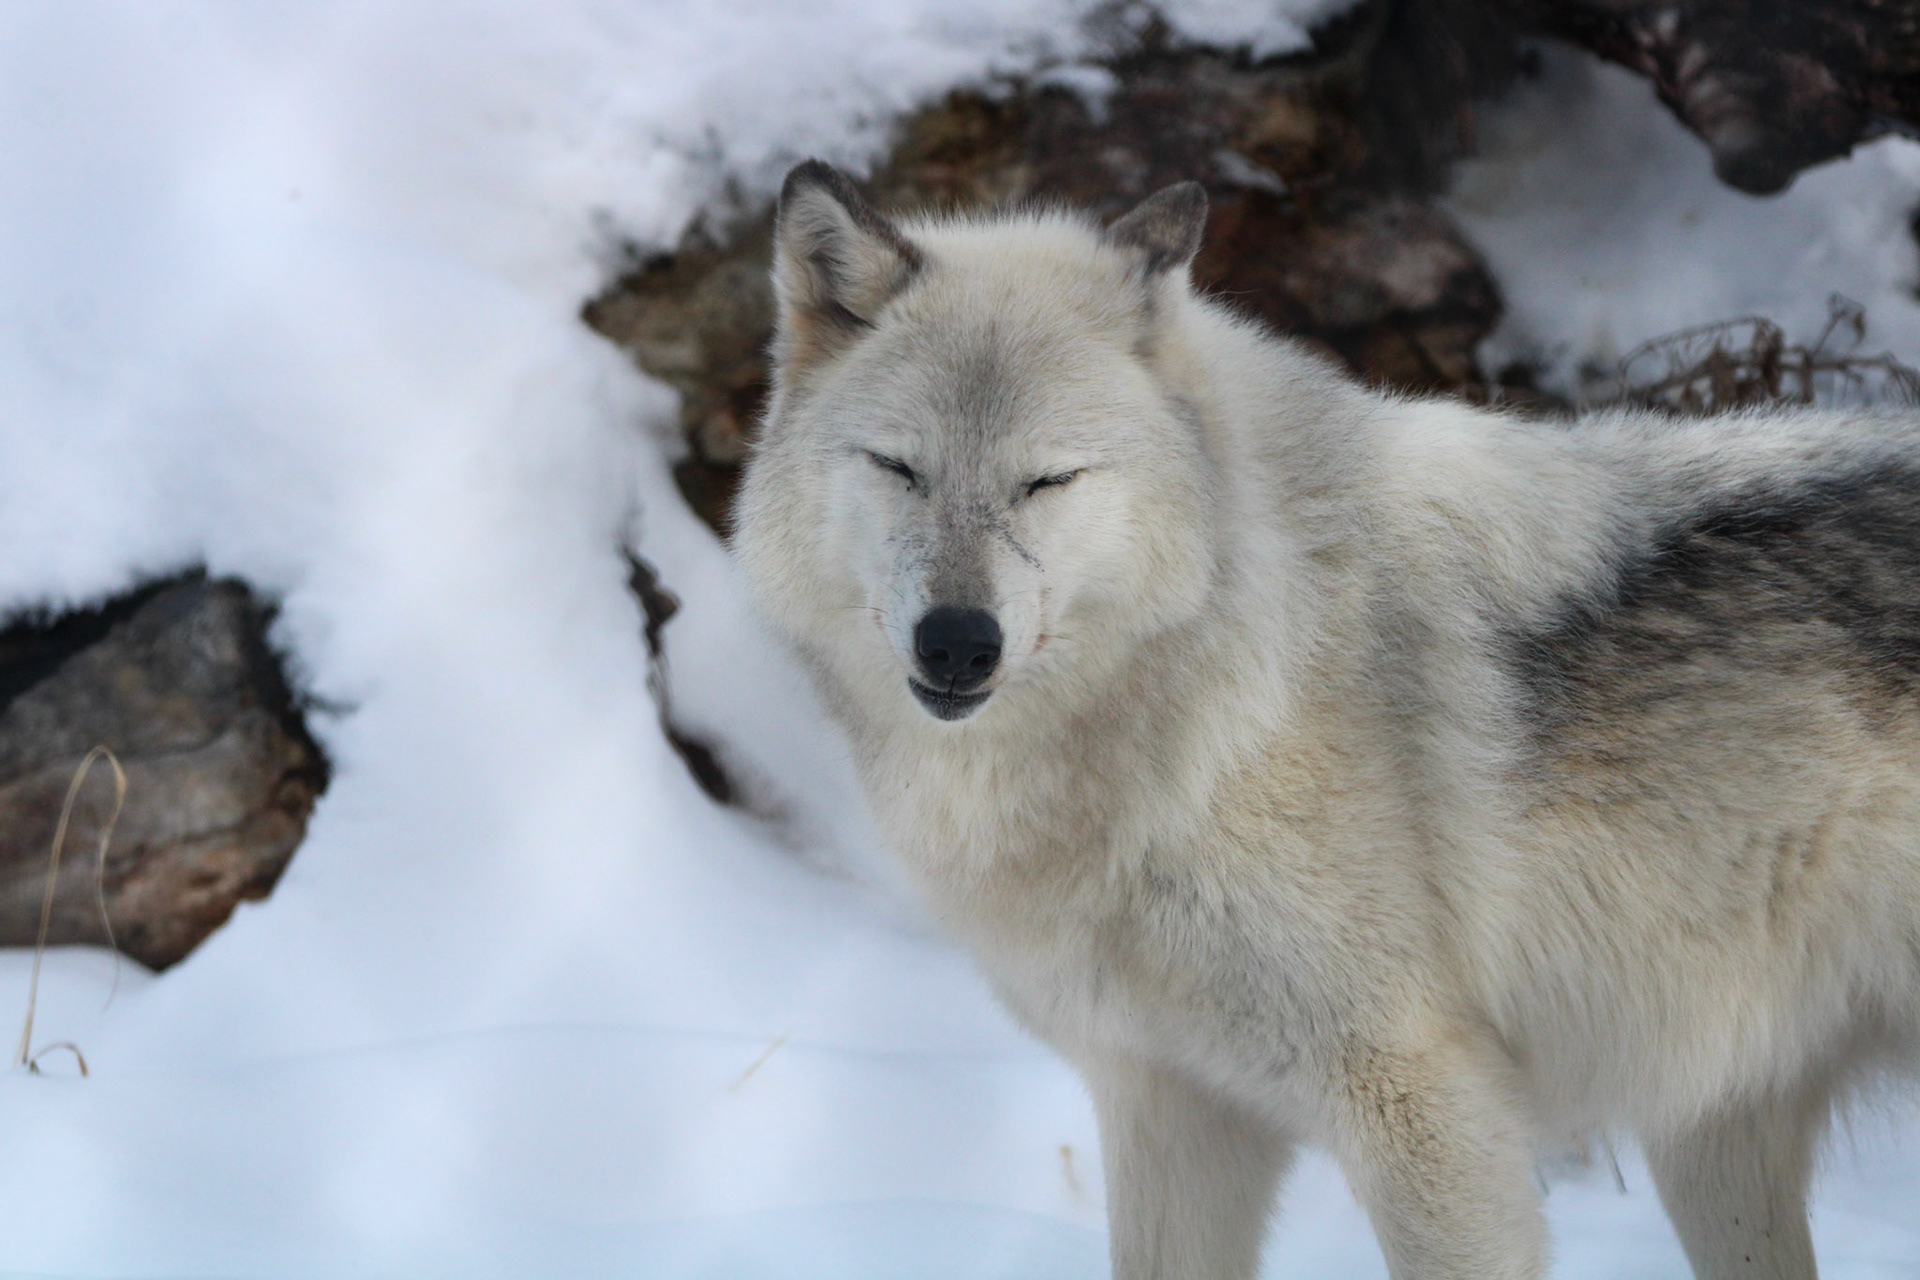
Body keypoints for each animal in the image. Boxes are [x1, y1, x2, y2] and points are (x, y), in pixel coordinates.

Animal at [730, 160, 1920, 1279]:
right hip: (1713, 1144)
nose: (956, 643)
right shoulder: (1170, 1107)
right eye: (899, 467)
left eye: (1048, 480)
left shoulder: (1427, 1110)